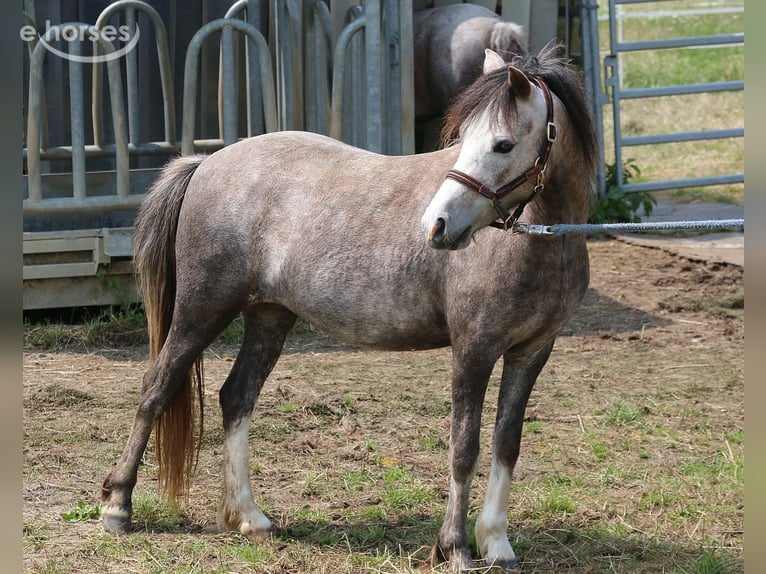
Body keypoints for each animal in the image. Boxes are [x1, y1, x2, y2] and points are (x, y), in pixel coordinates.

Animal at [100, 45, 597, 572]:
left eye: (502, 145)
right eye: (463, 139)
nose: (437, 225)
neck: (536, 243)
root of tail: (207, 162)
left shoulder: (530, 352)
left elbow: (507, 444)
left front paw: (497, 543)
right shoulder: (474, 350)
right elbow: (464, 447)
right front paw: (456, 547)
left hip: (269, 316)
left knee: (236, 398)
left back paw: (250, 517)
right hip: (202, 309)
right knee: (156, 387)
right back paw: (118, 506)